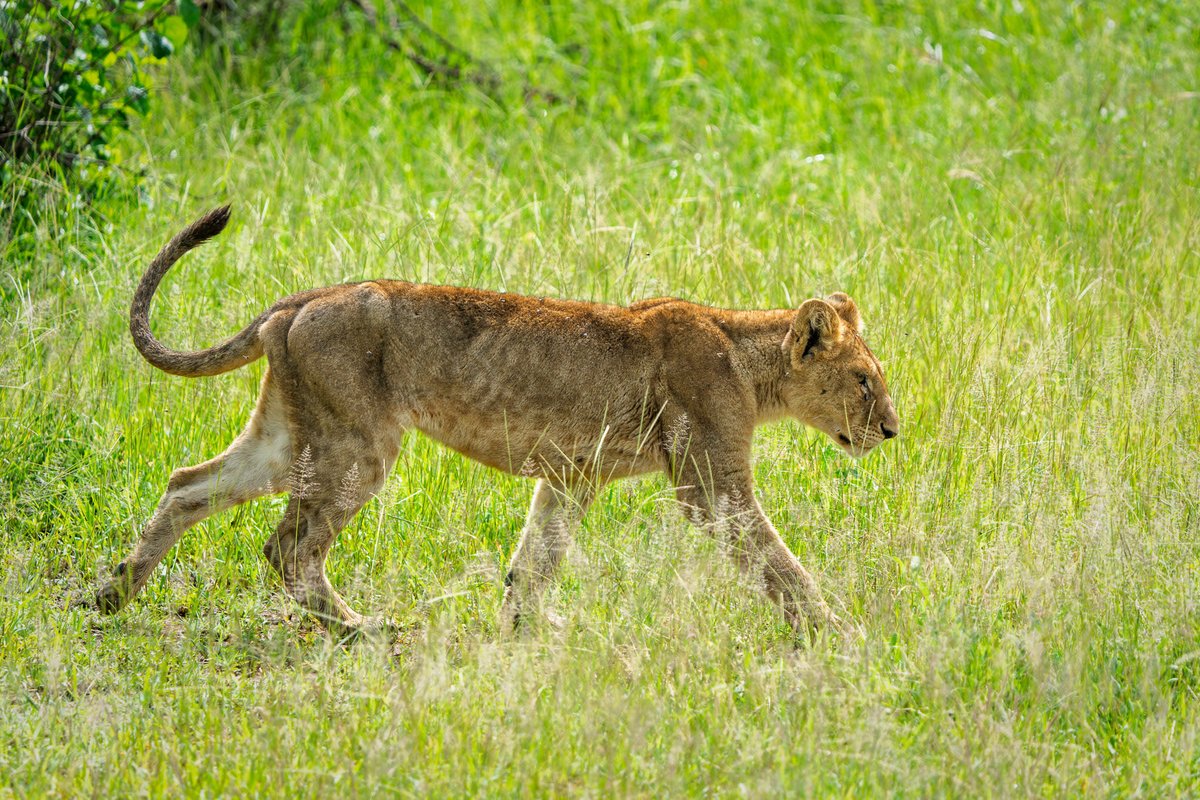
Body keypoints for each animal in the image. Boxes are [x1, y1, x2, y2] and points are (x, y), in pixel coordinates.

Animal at [95, 206, 899, 640]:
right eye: (864, 381)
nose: (892, 433)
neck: (747, 357)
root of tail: (298, 299)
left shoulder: (572, 477)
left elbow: (534, 562)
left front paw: (515, 636)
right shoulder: (710, 485)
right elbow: (778, 562)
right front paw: (835, 635)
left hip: (289, 435)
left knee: (188, 483)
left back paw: (111, 596)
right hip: (358, 446)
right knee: (288, 548)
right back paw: (364, 632)